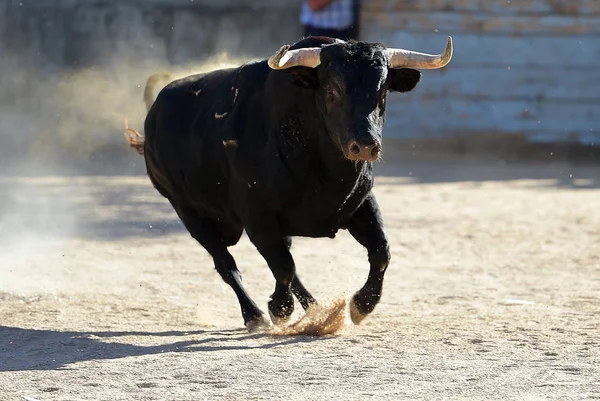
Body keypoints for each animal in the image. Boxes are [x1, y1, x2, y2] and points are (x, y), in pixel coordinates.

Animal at [126, 36, 454, 330]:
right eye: (332, 90)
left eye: (383, 92)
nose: (365, 146)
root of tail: (153, 115)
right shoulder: (258, 218)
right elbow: (282, 267)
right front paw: (279, 310)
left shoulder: (361, 204)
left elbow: (381, 252)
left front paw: (362, 305)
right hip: (187, 212)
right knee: (227, 264)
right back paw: (255, 316)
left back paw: (317, 310)